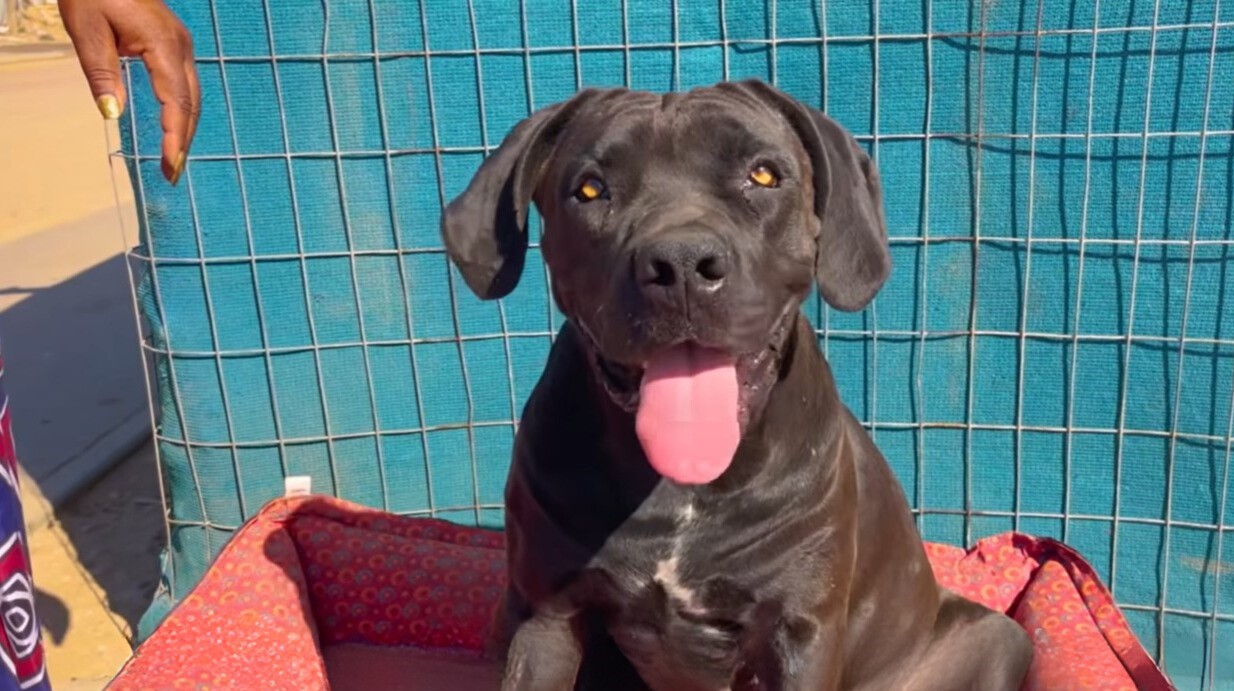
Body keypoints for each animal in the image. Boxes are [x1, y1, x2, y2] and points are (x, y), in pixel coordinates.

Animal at [444, 80, 1031, 691]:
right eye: (590, 189)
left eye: (764, 175)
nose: (680, 263)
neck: (679, 493)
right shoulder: (545, 616)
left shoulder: (801, 630)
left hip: (1000, 638)